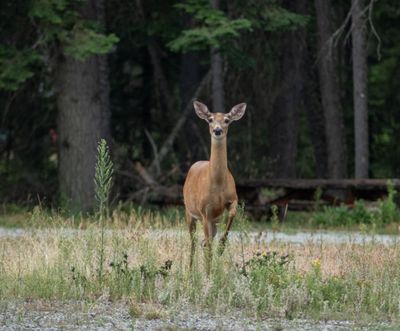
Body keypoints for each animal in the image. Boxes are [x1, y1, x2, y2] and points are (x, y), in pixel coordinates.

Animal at [183, 102, 245, 274]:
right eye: (210, 119)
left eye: (227, 120)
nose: (217, 130)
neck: (217, 184)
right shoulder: (205, 210)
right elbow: (208, 245)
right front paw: (208, 274)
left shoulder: (233, 199)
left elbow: (232, 215)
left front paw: (221, 248)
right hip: (189, 212)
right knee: (193, 242)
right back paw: (190, 271)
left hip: (213, 222)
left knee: (204, 240)